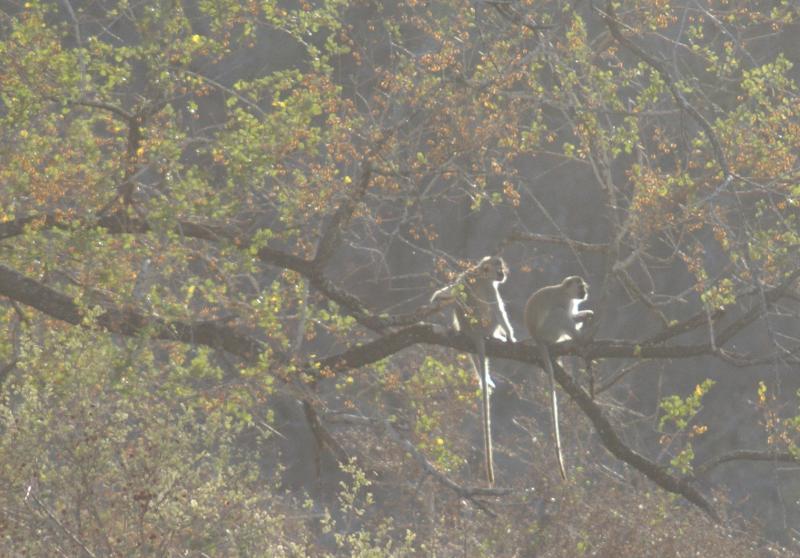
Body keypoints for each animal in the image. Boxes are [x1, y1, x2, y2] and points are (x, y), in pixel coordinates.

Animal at [430, 256, 516, 486]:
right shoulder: (490, 288)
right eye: (498, 269)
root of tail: (474, 331)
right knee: (495, 315)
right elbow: (499, 311)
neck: (480, 274)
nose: (502, 275)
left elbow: (452, 290)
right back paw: (499, 337)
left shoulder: (466, 275)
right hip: (488, 325)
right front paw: (511, 336)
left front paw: (437, 297)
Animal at [524, 275, 594, 481]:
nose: (585, 292)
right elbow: (564, 313)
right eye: (581, 287)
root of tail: (536, 336)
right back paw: (580, 338)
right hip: (549, 330)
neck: (565, 291)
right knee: (559, 314)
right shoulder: (564, 300)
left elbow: (574, 315)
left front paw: (586, 314)